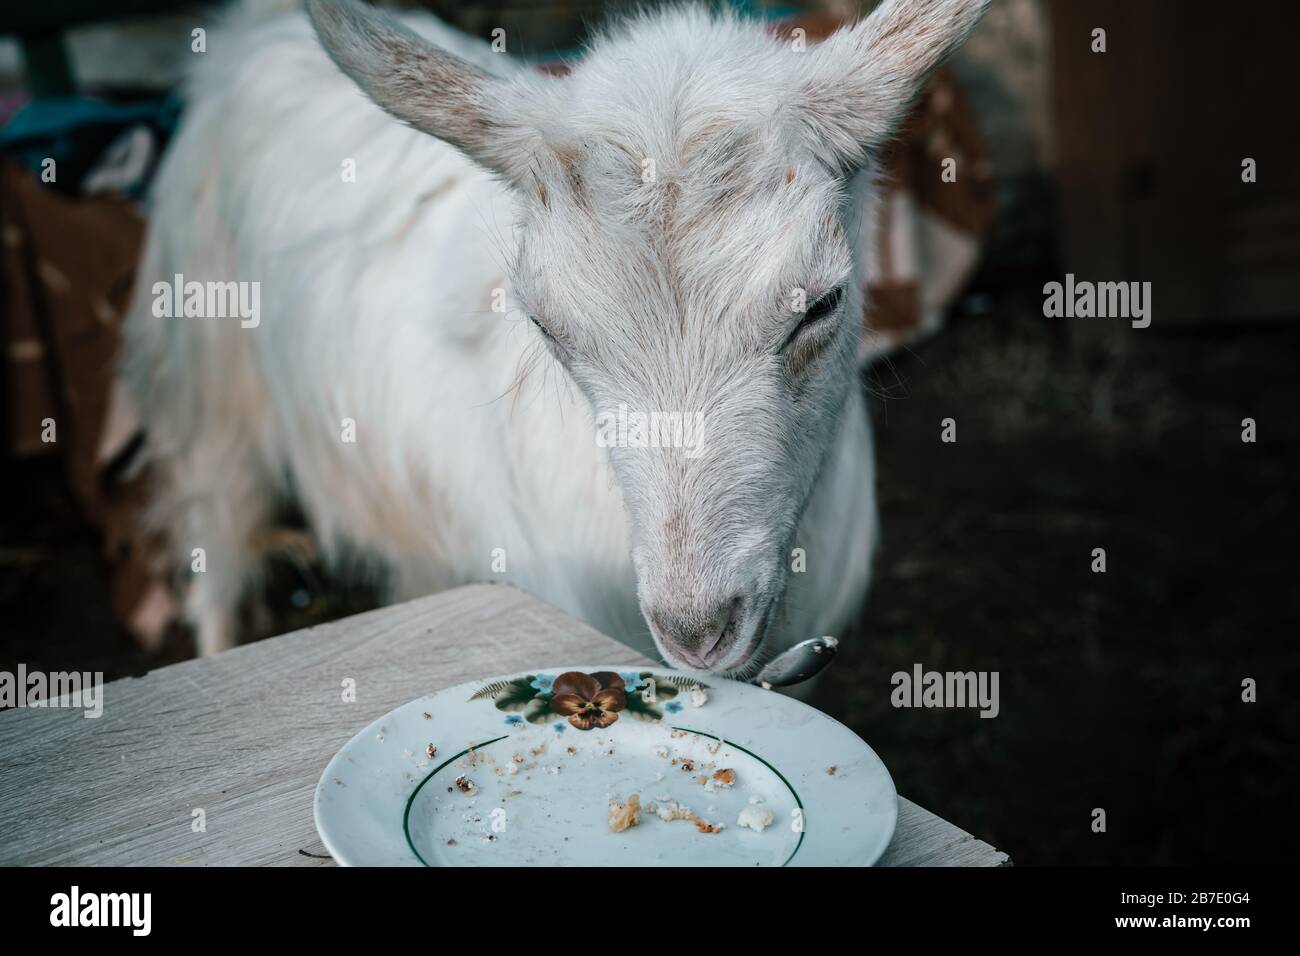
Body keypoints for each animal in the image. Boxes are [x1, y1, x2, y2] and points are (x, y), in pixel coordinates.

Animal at [122, 0, 988, 674]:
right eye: (545, 324)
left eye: (823, 303)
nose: (698, 633)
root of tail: (250, 33)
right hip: (210, 389)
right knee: (214, 539)